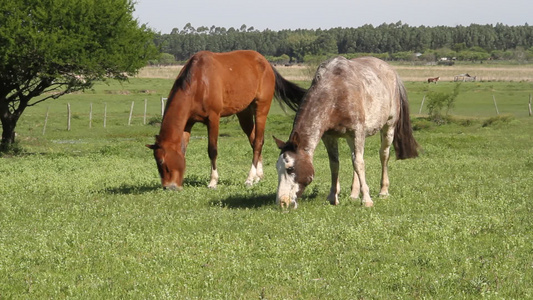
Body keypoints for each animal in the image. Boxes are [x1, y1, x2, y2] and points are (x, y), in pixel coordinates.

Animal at [145, 49, 306, 190]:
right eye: (156, 162)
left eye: (162, 161)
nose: (168, 187)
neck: (198, 81)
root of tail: (266, 63)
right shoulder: (188, 123)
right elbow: (183, 150)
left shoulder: (213, 118)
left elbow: (212, 150)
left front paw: (213, 182)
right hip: (244, 113)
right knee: (253, 140)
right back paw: (257, 176)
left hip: (261, 109)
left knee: (258, 142)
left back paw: (249, 178)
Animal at [274, 57, 420, 210]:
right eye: (277, 168)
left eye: (290, 169)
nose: (282, 202)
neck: (336, 91)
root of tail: (392, 71)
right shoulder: (330, 136)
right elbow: (335, 164)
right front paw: (332, 197)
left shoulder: (357, 132)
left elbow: (359, 163)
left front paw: (367, 200)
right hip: (351, 138)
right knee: (354, 157)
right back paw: (354, 194)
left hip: (388, 127)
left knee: (383, 155)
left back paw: (383, 191)